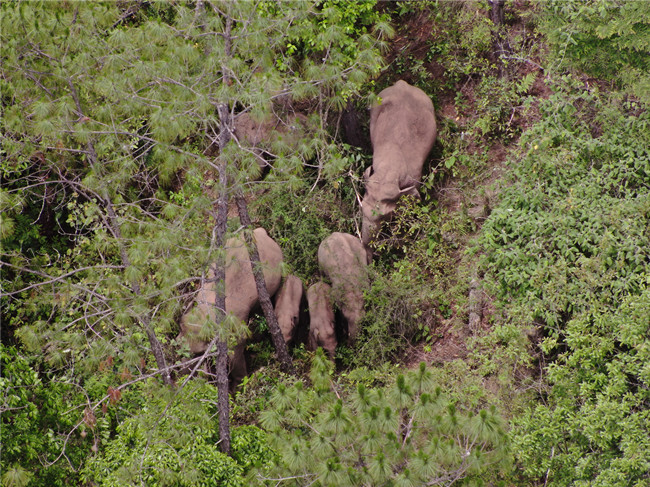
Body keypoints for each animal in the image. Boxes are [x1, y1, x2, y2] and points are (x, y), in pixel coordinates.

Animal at [180, 229, 286, 386]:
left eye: (197, 353)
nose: (180, 372)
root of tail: (259, 231)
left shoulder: (236, 331)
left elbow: (236, 357)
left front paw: (239, 384)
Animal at [360, 80, 436, 258]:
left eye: (384, 217)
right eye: (361, 209)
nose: (370, 253)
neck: (389, 170)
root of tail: (402, 83)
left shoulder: (414, 179)